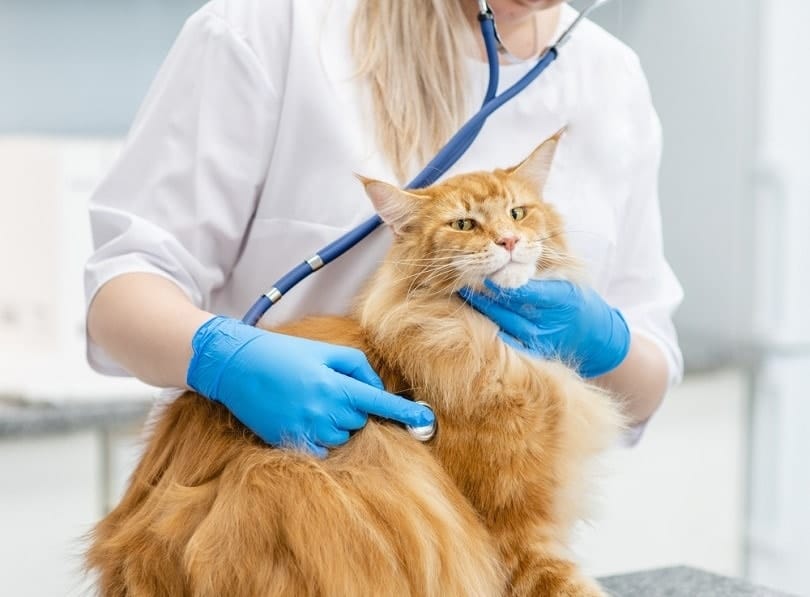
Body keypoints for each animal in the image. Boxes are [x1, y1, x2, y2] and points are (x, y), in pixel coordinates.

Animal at [87, 132, 620, 596]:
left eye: (517, 212)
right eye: (464, 225)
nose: (508, 240)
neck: (482, 340)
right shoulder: (516, 530)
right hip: (290, 468)